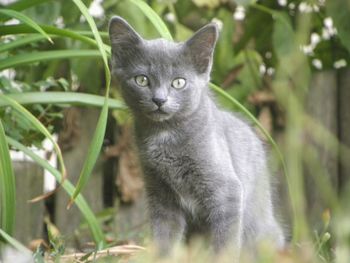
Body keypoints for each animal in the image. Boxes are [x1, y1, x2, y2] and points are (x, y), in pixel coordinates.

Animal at [108, 16, 284, 258]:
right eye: (142, 80)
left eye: (178, 82)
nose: (159, 100)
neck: (165, 135)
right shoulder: (161, 194)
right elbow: (164, 237)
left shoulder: (226, 193)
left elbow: (225, 242)